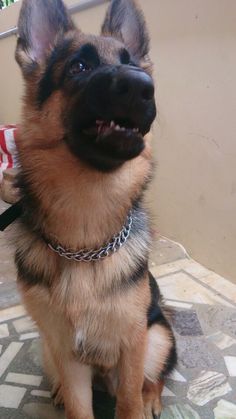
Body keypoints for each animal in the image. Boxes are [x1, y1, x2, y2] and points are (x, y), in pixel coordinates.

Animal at [14, 0, 176, 419]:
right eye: (79, 67)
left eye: (130, 61)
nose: (142, 86)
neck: (86, 242)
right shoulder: (67, 352)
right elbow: (78, 407)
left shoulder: (133, 344)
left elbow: (129, 401)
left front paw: (141, 402)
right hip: (49, 349)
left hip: (158, 336)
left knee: (155, 375)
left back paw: (153, 398)